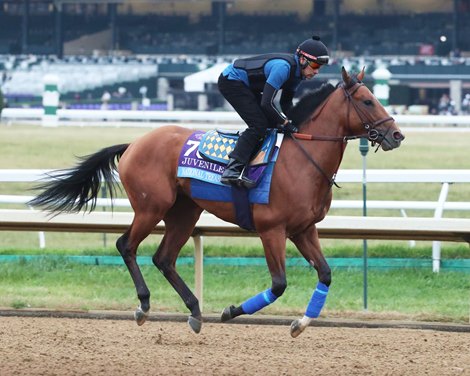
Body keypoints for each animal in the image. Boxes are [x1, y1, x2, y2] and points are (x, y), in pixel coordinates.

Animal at [29, 67, 404, 338]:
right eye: (367, 101)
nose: (397, 135)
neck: (303, 158)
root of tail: (134, 142)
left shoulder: (304, 229)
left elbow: (325, 274)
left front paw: (301, 323)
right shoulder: (272, 229)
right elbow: (279, 284)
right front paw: (231, 311)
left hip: (185, 212)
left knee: (164, 258)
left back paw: (195, 312)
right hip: (152, 207)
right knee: (126, 246)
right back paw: (145, 306)